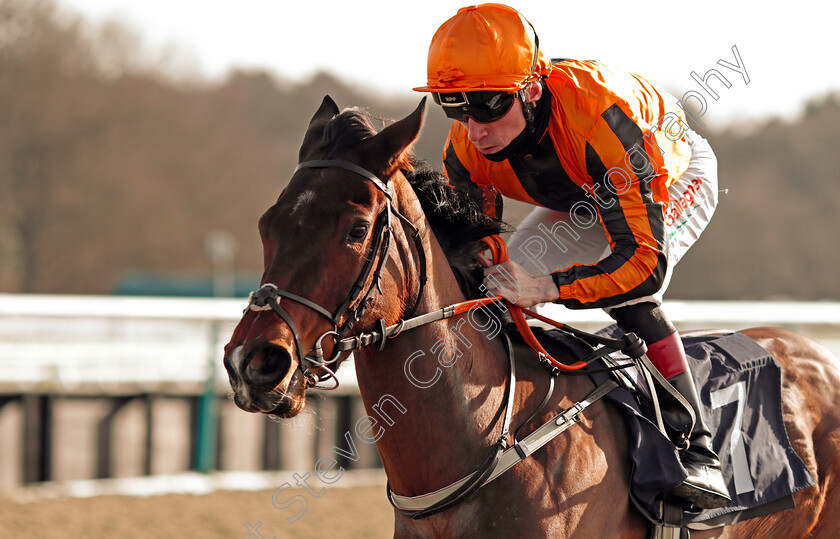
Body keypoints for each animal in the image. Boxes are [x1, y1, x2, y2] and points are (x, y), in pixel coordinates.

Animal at [221, 95, 840, 536]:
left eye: (355, 229)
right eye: (267, 223)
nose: (254, 362)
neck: (484, 440)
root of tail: (815, 355)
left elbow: (642, 263)